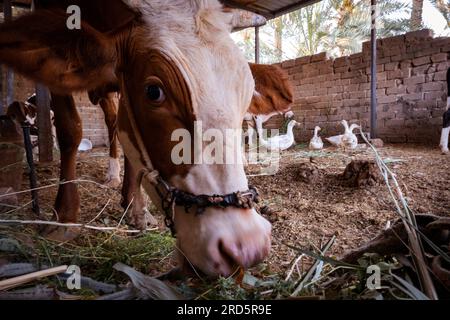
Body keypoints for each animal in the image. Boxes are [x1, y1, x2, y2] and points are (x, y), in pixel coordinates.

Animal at [0, 0, 270, 278]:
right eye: (153, 92)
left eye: (248, 94)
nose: (246, 245)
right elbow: (70, 129)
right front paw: (64, 216)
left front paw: (136, 209)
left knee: (112, 120)